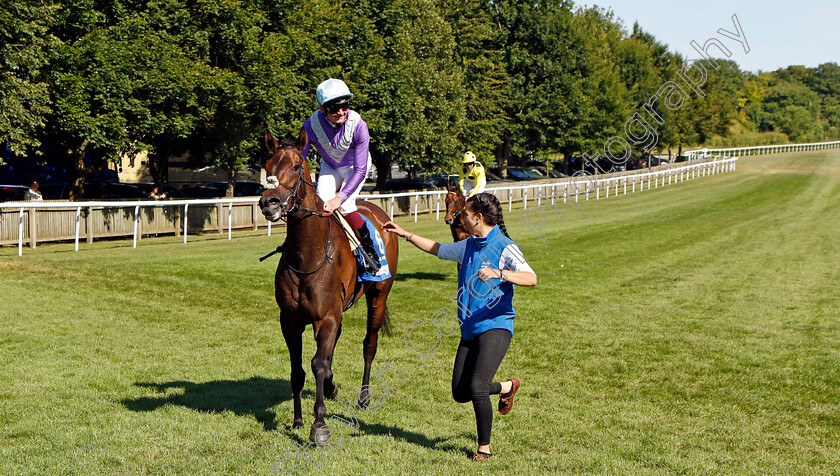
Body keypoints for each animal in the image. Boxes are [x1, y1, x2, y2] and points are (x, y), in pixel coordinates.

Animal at [258, 133, 398, 442]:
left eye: (296, 166)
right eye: (267, 165)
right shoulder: (291, 319)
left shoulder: (326, 317)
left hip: (379, 294)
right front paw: (298, 419)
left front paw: (319, 424)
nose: (269, 202)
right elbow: (298, 368)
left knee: (369, 344)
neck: (307, 253)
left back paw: (364, 397)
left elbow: (318, 364)